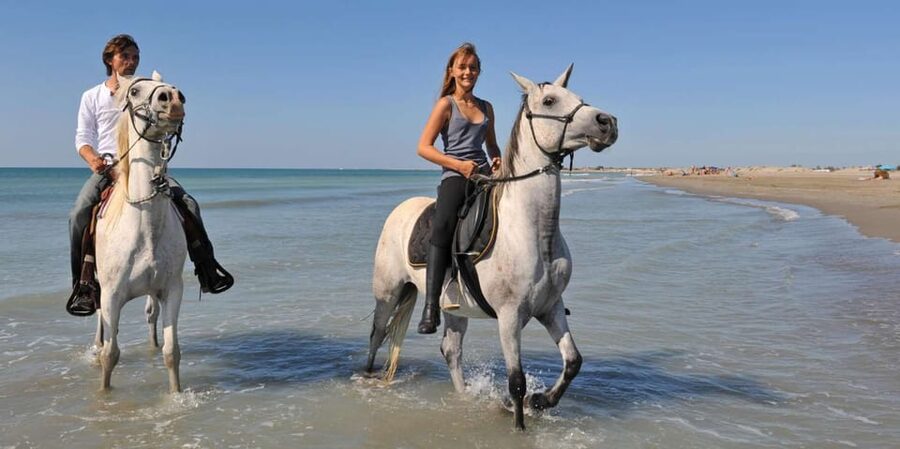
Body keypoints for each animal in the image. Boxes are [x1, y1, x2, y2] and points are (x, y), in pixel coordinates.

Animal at [94, 71, 188, 393]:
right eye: (134, 92)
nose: (173, 98)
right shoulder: (111, 295)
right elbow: (111, 354)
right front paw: (104, 395)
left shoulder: (171, 289)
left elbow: (172, 352)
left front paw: (175, 395)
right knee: (100, 324)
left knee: (151, 316)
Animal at [365, 65, 618, 430]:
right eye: (550, 101)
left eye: (578, 97)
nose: (607, 122)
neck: (533, 231)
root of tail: (400, 209)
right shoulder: (509, 316)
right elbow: (517, 380)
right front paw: (520, 424)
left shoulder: (550, 306)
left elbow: (573, 361)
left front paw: (540, 401)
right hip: (388, 292)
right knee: (377, 334)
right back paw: (367, 378)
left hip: (454, 308)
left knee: (450, 350)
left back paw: (464, 397)